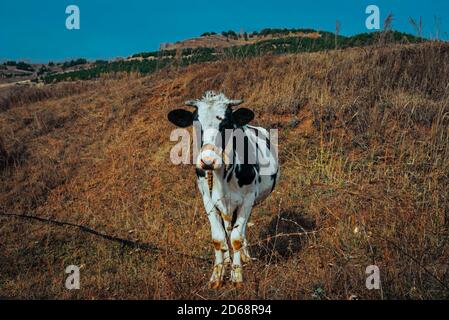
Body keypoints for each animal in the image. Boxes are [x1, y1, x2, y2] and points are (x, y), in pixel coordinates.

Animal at [168, 90, 278, 288]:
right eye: (195, 123)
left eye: (226, 124)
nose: (208, 160)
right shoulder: (207, 199)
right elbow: (218, 238)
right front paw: (217, 276)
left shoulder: (248, 198)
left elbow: (236, 237)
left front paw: (237, 275)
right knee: (227, 229)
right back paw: (228, 259)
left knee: (238, 230)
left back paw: (243, 256)